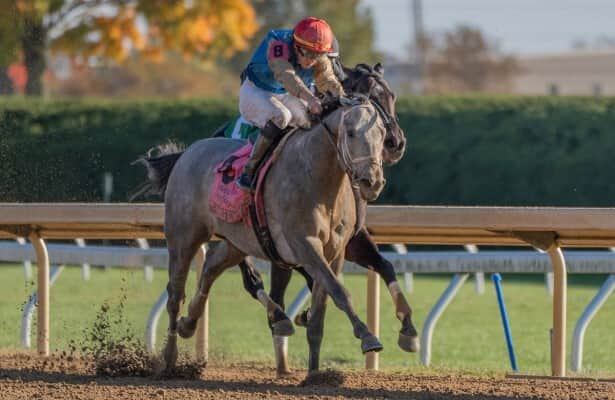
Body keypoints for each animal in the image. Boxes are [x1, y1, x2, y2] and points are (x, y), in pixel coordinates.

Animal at [140, 97, 390, 376]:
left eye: (382, 133)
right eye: (351, 132)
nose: (372, 181)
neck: (317, 177)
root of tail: (188, 152)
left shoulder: (334, 251)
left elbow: (321, 309)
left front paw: (314, 374)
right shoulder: (305, 246)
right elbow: (339, 291)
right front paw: (368, 337)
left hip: (237, 241)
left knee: (210, 268)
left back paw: (189, 324)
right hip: (183, 237)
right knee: (175, 294)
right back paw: (169, 358)